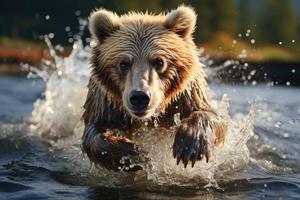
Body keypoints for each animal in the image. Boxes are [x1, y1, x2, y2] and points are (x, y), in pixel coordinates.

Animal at [81, 6, 226, 172]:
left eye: (159, 61)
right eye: (123, 63)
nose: (140, 97)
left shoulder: (186, 95)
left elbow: (210, 114)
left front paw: (189, 145)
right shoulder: (106, 102)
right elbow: (95, 129)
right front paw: (132, 154)